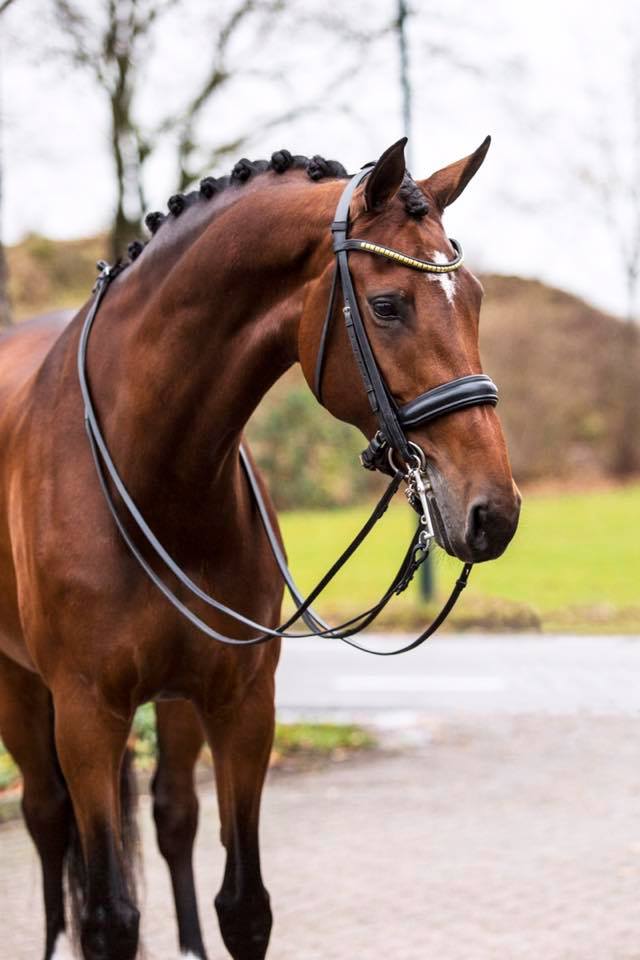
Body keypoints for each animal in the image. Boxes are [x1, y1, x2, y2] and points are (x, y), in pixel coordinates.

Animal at [0, 138, 520, 960]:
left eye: (472, 297)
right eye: (387, 305)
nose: (493, 512)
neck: (156, 479)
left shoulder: (243, 705)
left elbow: (244, 904)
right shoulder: (86, 714)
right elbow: (110, 917)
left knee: (173, 815)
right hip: (21, 689)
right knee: (48, 822)